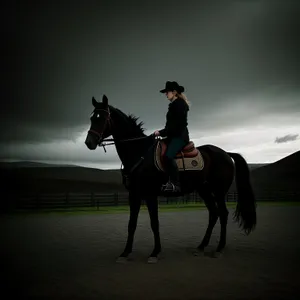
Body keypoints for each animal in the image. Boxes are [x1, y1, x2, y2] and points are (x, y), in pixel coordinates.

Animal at [84, 95, 255, 262]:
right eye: (92, 118)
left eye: (103, 117)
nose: (88, 143)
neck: (140, 152)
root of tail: (226, 153)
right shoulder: (134, 194)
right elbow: (131, 224)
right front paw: (125, 253)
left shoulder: (150, 194)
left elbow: (154, 223)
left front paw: (155, 253)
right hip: (204, 190)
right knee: (213, 214)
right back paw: (201, 246)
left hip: (219, 192)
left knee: (223, 214)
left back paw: (219, 249)